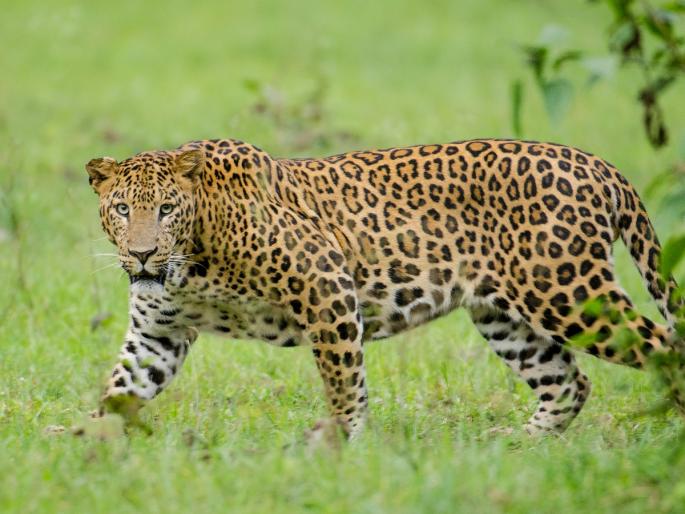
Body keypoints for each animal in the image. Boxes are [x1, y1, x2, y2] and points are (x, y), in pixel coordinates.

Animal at [86, 138, 684, 437]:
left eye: (166, 209)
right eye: (123, 209)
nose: (143, 253)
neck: (192, 261)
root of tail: (597, 163)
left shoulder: (326, 285)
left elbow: (343, 381)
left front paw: (342, 444)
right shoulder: (158, 335)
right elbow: (120, 389)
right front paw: (82, 451)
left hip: (569, 294)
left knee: (665, 347)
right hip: (506, 316)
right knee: (568, 383)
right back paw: (519, 445)